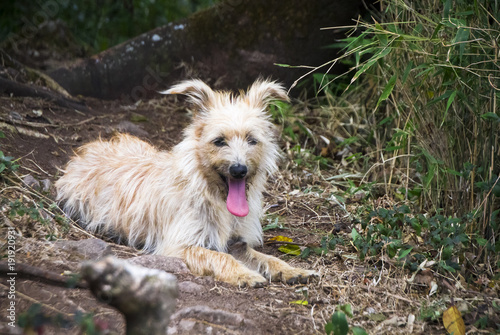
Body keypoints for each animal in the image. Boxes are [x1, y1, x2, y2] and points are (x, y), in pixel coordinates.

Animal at [56, 80, 316, 288]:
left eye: (252, 140)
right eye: (219, 141)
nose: (239, 170)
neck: (211, 195)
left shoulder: (237, 244)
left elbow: (267, 257)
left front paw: (291, 269)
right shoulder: (178, 247)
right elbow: (220, 257)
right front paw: (244, 274)